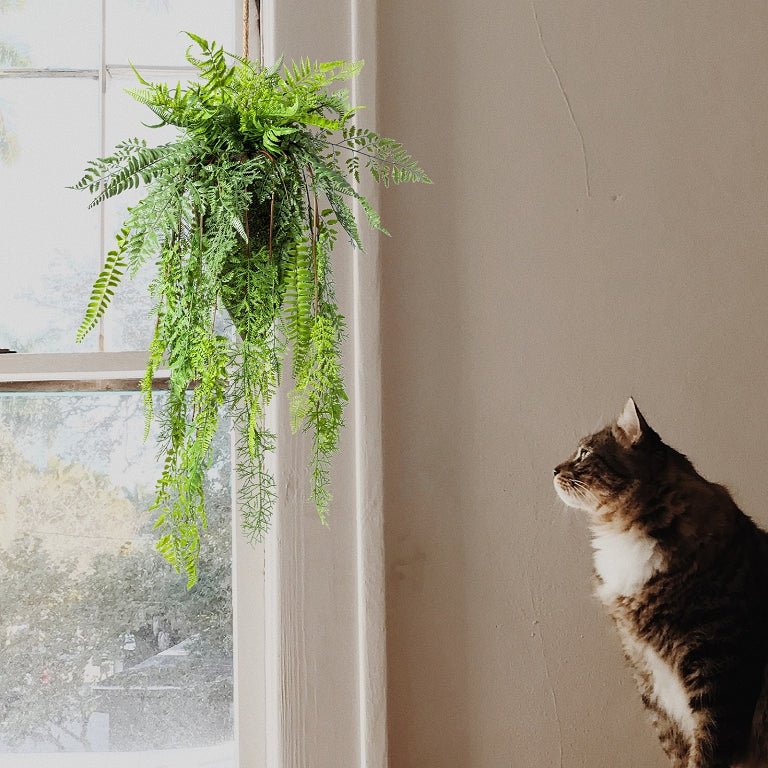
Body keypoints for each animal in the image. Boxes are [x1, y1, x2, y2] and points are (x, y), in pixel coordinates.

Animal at [556, 400, 768, 764]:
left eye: (584, 453)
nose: (553, 470)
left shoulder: (718, 666)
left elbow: (707, 749)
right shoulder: (646, 673)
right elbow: (675, 748)